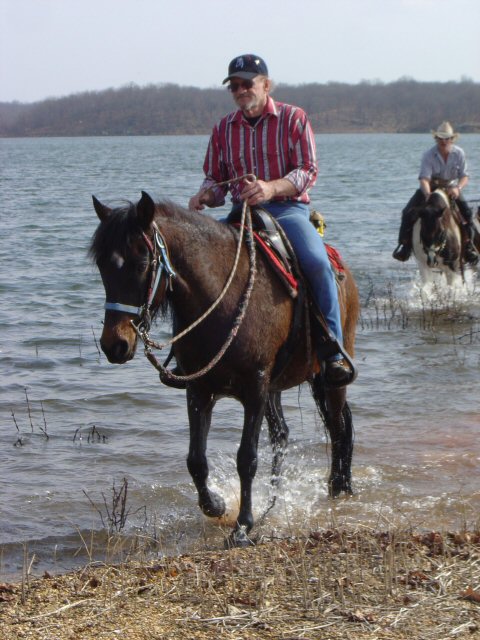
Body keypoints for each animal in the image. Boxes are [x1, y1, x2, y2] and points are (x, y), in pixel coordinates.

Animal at [91, 190, 360, 544]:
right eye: (102, 266)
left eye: (141, 263)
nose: (115, 344)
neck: (221, 297)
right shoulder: (199, 390)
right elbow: (196, 460)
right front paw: (217, 505)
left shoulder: (255, 387)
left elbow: (247, 458)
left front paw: (243, 526)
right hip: (281, 387)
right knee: (284, 434)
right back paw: (274, 502)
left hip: (328, 376)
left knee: (339, 427)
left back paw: (338, 488)